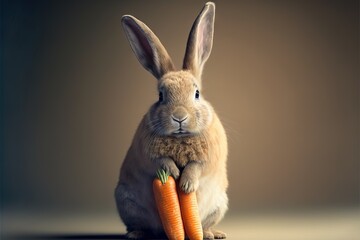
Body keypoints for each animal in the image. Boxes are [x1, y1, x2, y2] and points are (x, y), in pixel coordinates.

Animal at [115, 2, 228, 240]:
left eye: (196, 94)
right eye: (160, 95)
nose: (179, 117)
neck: (180, 137)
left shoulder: (207, 158)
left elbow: (195, 167)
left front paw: (185, 185)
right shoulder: (149, 156)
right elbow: (162, 162)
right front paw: (175, 174)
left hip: (219, 204)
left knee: (205, 224)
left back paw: (211, 233)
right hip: (127, 203)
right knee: (140, 225)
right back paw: (136, 234)